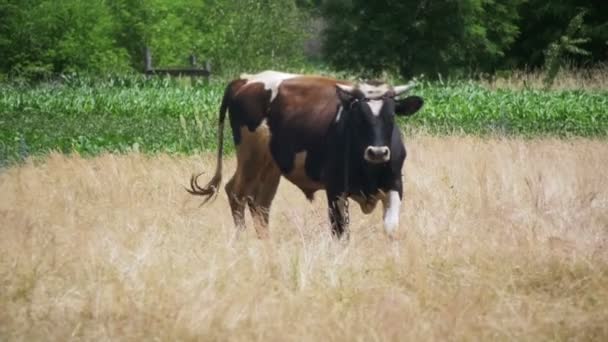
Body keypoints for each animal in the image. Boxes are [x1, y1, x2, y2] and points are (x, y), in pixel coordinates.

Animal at [185, 71, 422, 239]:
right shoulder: (335, 189)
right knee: (236, 192)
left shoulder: (395, 185)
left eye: (391, 116)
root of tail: (245, 80)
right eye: (358, 116)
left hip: (270, 166)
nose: (377, 152)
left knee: (260, 204)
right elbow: (340, 231)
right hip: (250, 157)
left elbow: (390, 228)